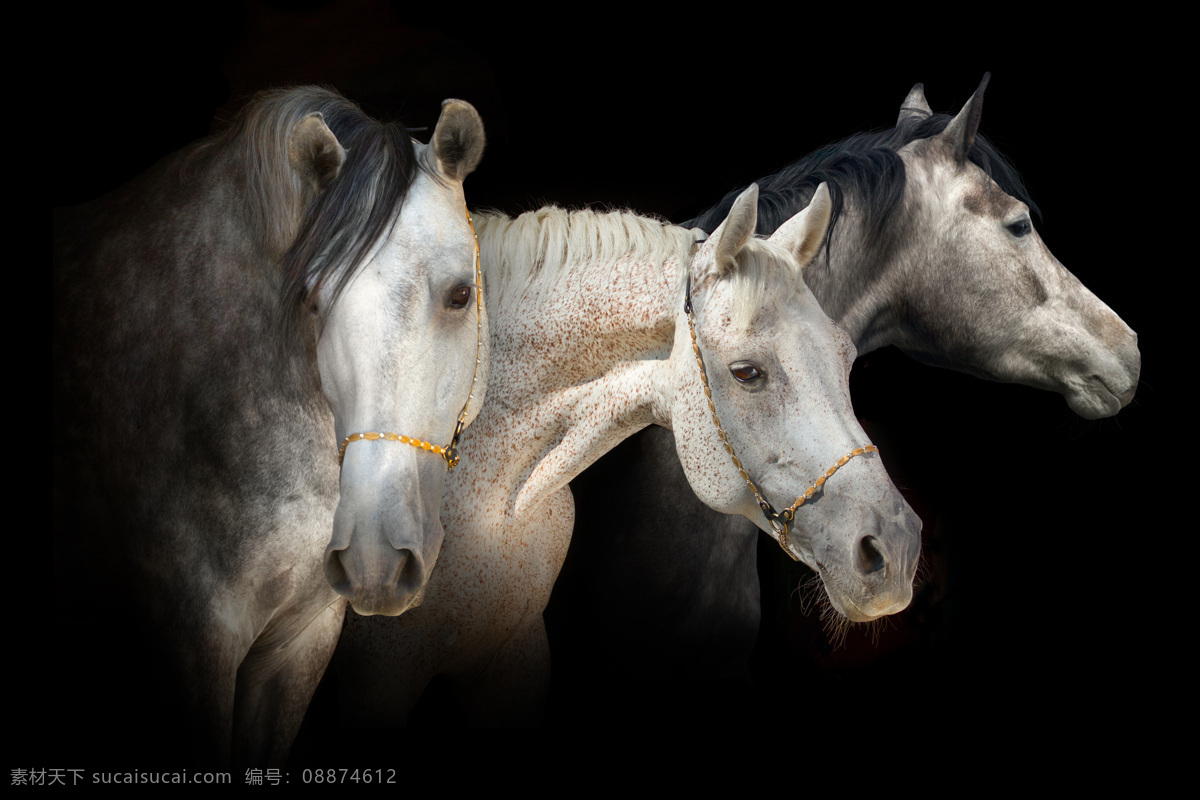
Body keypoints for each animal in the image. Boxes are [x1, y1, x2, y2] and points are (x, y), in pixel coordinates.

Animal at [330, 181, 922, 725]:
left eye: (845, 356)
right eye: (747, 372)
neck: (485, 499)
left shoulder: (512, 656)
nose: (895, 549)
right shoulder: (380, 677)